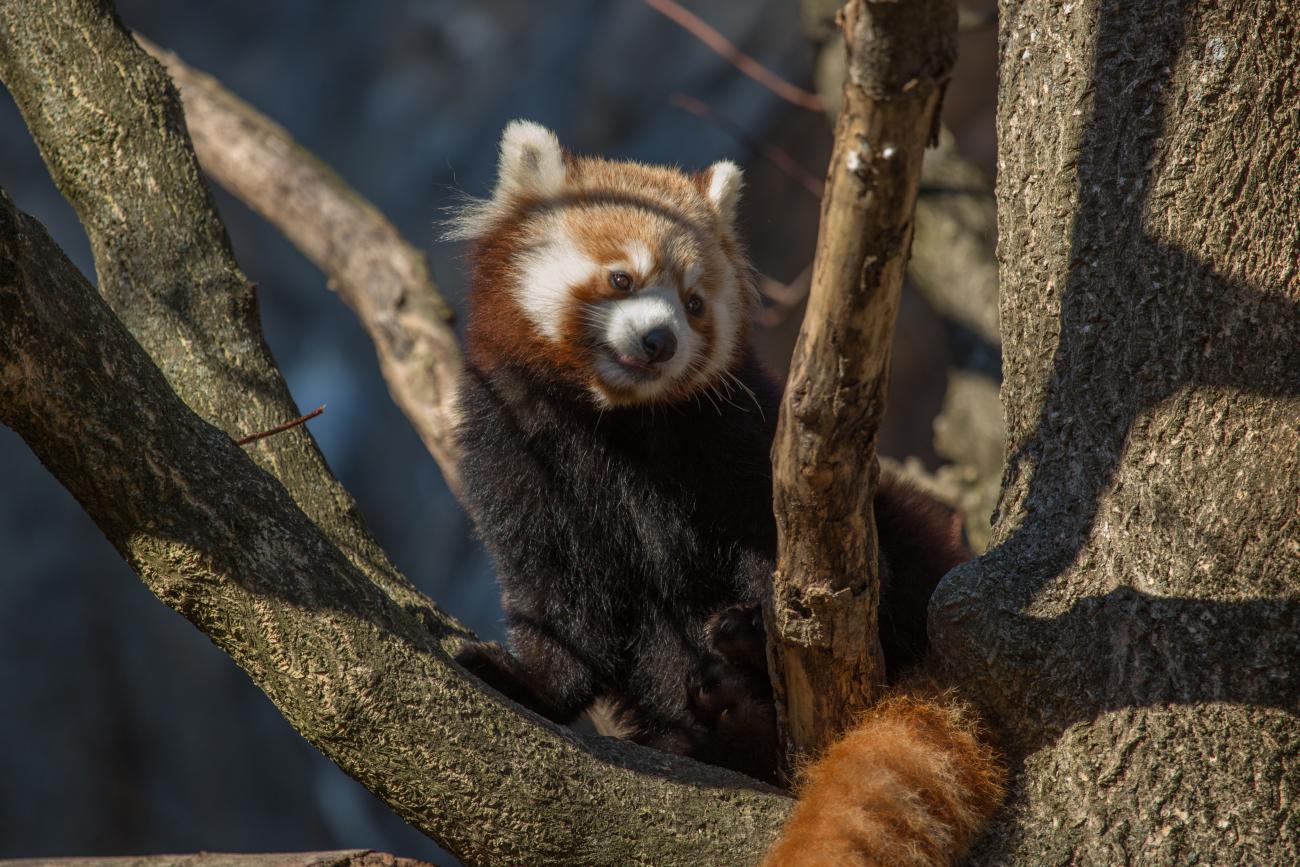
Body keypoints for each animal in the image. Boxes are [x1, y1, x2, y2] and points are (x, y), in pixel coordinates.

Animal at [447, 120, 1003, 863]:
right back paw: (728, 722)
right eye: (622, 278)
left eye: (694, 303)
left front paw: (760, 620)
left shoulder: (745, 437)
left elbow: (792, 550)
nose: (659, 339)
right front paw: (530, 680)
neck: (617, 423)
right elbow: (559, 596)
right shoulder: (517, 451)